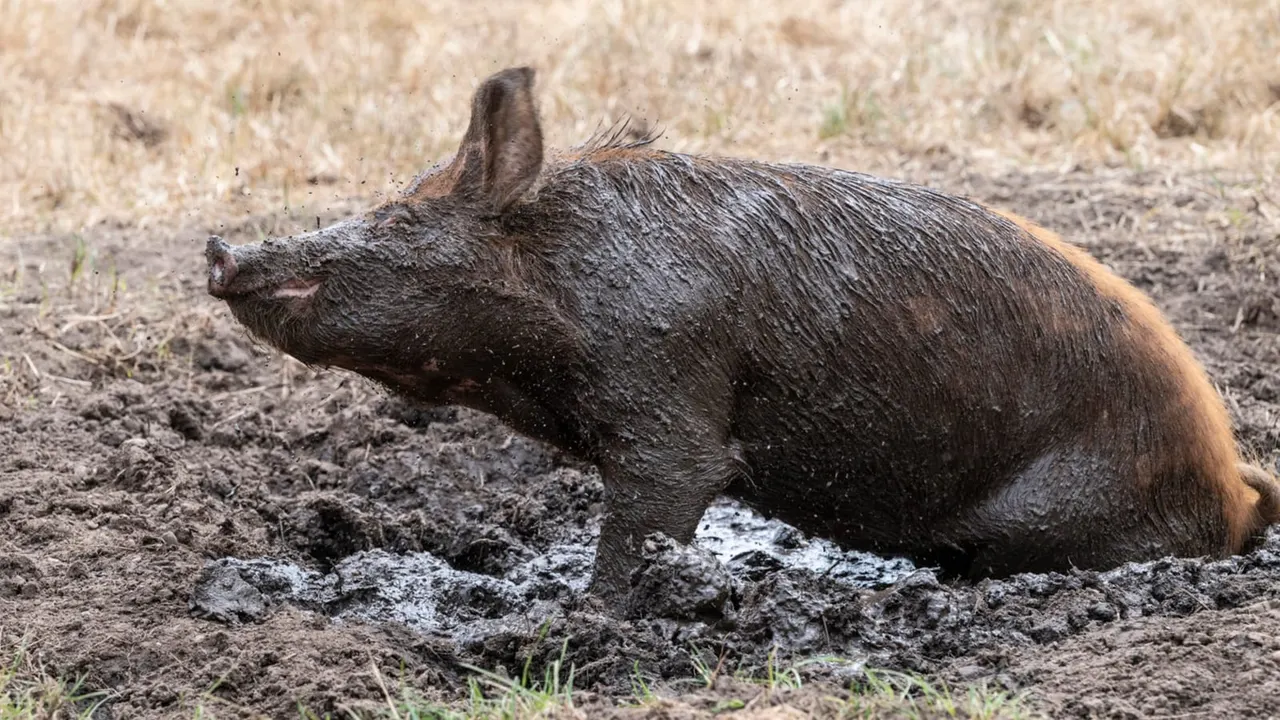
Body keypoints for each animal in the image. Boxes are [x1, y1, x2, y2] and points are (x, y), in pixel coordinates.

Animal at [205, 66, 1280, 611]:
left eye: (397, 215)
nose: (221, 248)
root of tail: (1232, 485)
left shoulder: (667, 384)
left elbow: (656, 506)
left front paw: (583, 620)